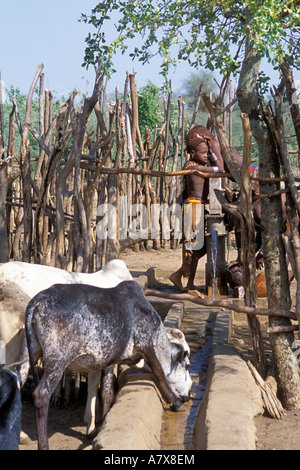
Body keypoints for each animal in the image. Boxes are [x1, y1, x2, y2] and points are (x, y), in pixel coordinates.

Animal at [18, 280, 192, 450]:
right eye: (186, 365)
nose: (188, 395)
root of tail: (38, 300)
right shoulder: (146, 343)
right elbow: (159, 373)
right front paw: (176, 403)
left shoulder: (109, 361)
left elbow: (107, 393)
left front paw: (101, 426)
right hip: (57, 360)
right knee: (41, 394)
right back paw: (43, 444)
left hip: (28, 354)